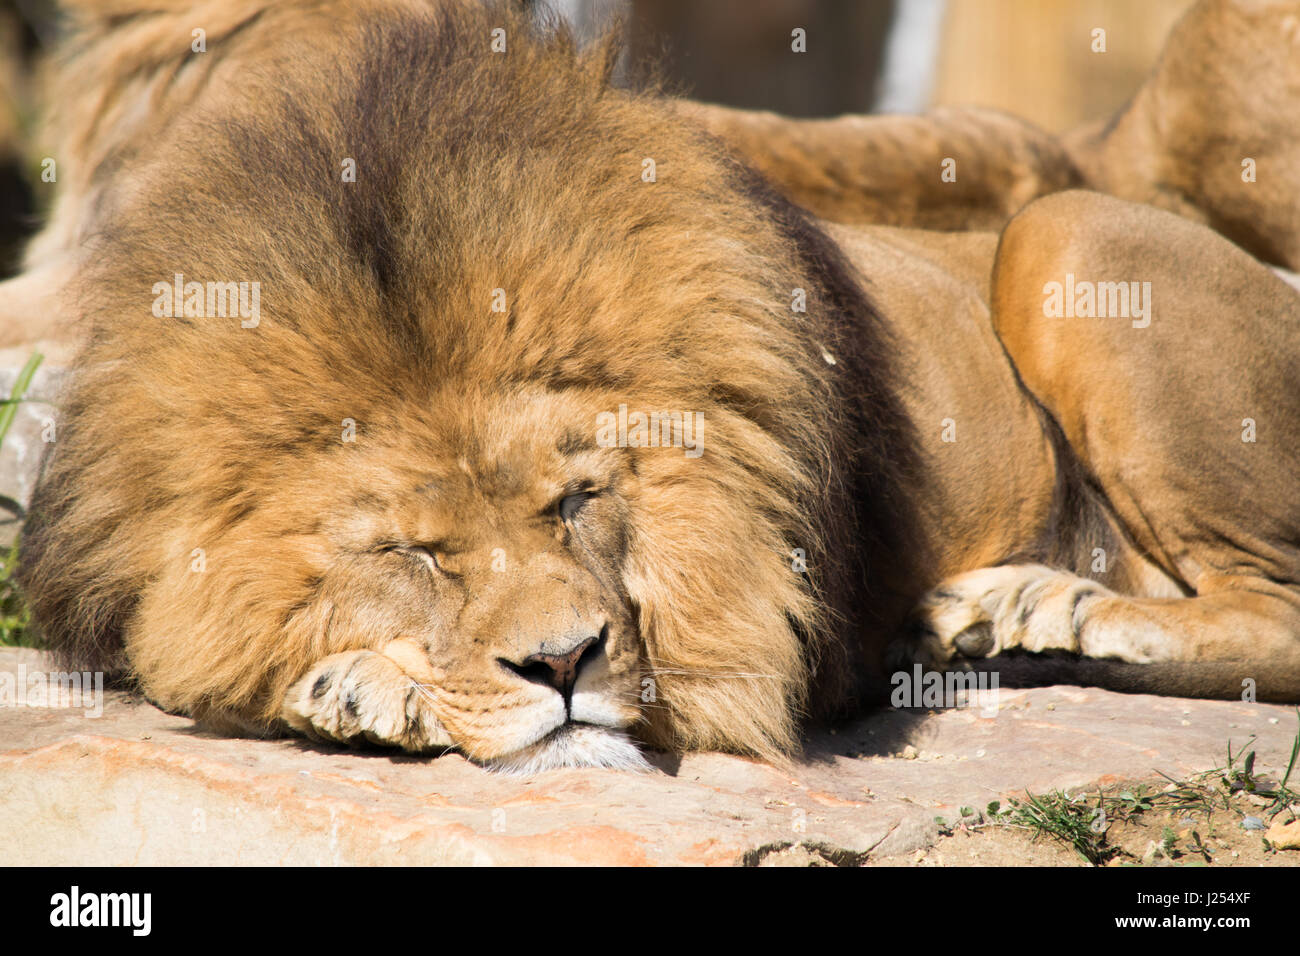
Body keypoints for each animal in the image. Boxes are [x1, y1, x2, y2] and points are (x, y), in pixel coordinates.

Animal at [2, 0, 1300, 770]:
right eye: (415, 551)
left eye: (578, 501)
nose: (564, 666)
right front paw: (350, 683)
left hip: (1062, 234)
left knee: (1272, 614)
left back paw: (1047, 609)